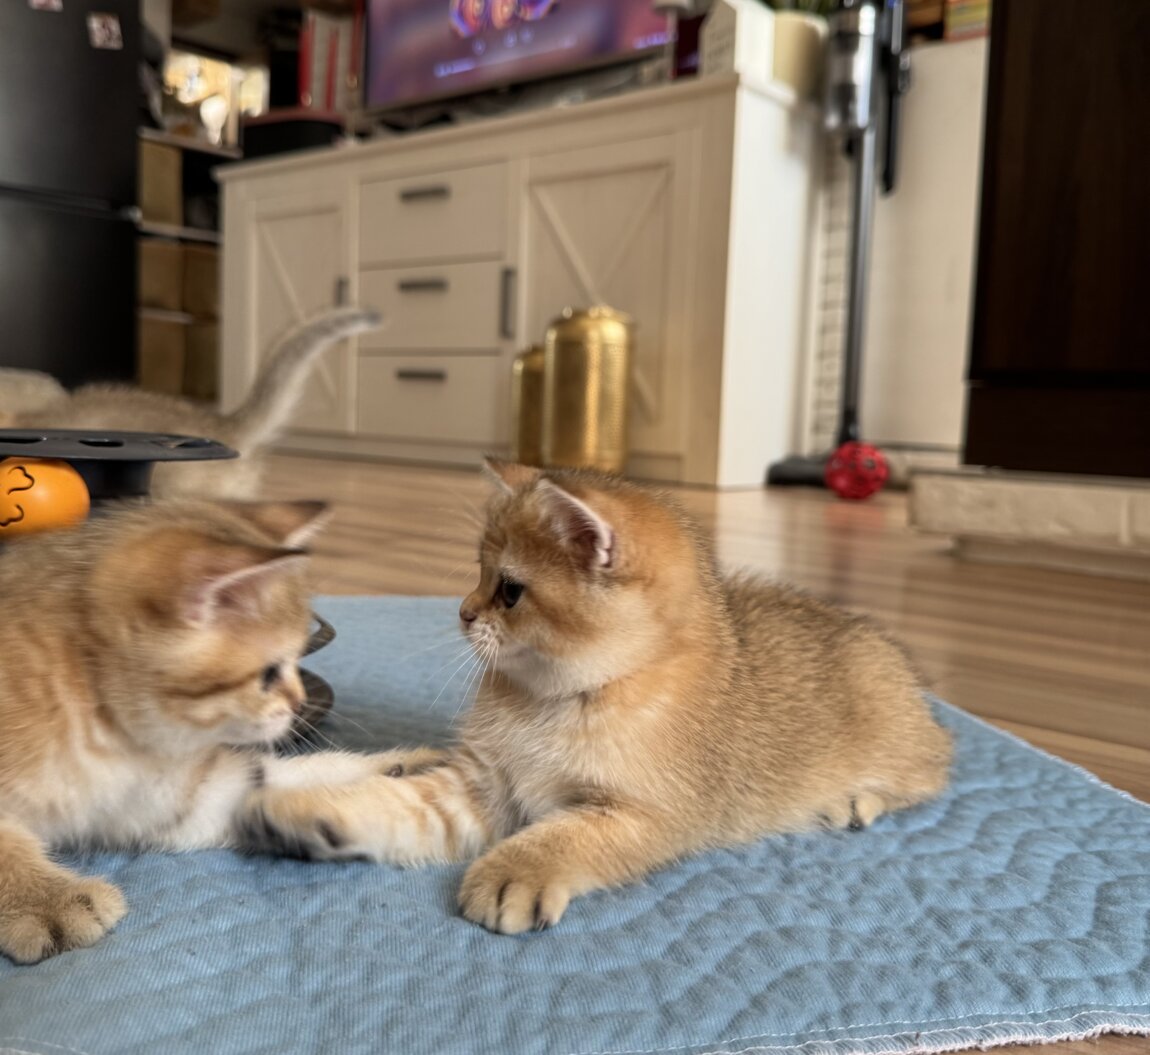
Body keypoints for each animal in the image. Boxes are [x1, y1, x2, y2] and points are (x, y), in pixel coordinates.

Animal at [0, 496, 430, 964]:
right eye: (269, 673)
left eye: (299, 659)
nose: (300, 703)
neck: (112, 734)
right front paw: (46, 900)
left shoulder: (175, 795)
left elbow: (267, 780)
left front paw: (386, 782)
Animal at [240, 459, 954, 935]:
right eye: (476, 572)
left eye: (509, 591)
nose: (463, 612)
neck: (558, 699)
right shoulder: (478, 788)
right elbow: (394, 804)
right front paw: (311, 812)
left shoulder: (643, 815)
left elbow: (564, 838)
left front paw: (514, 873)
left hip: (903, 741)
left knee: (937, 767)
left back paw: (856, 799)